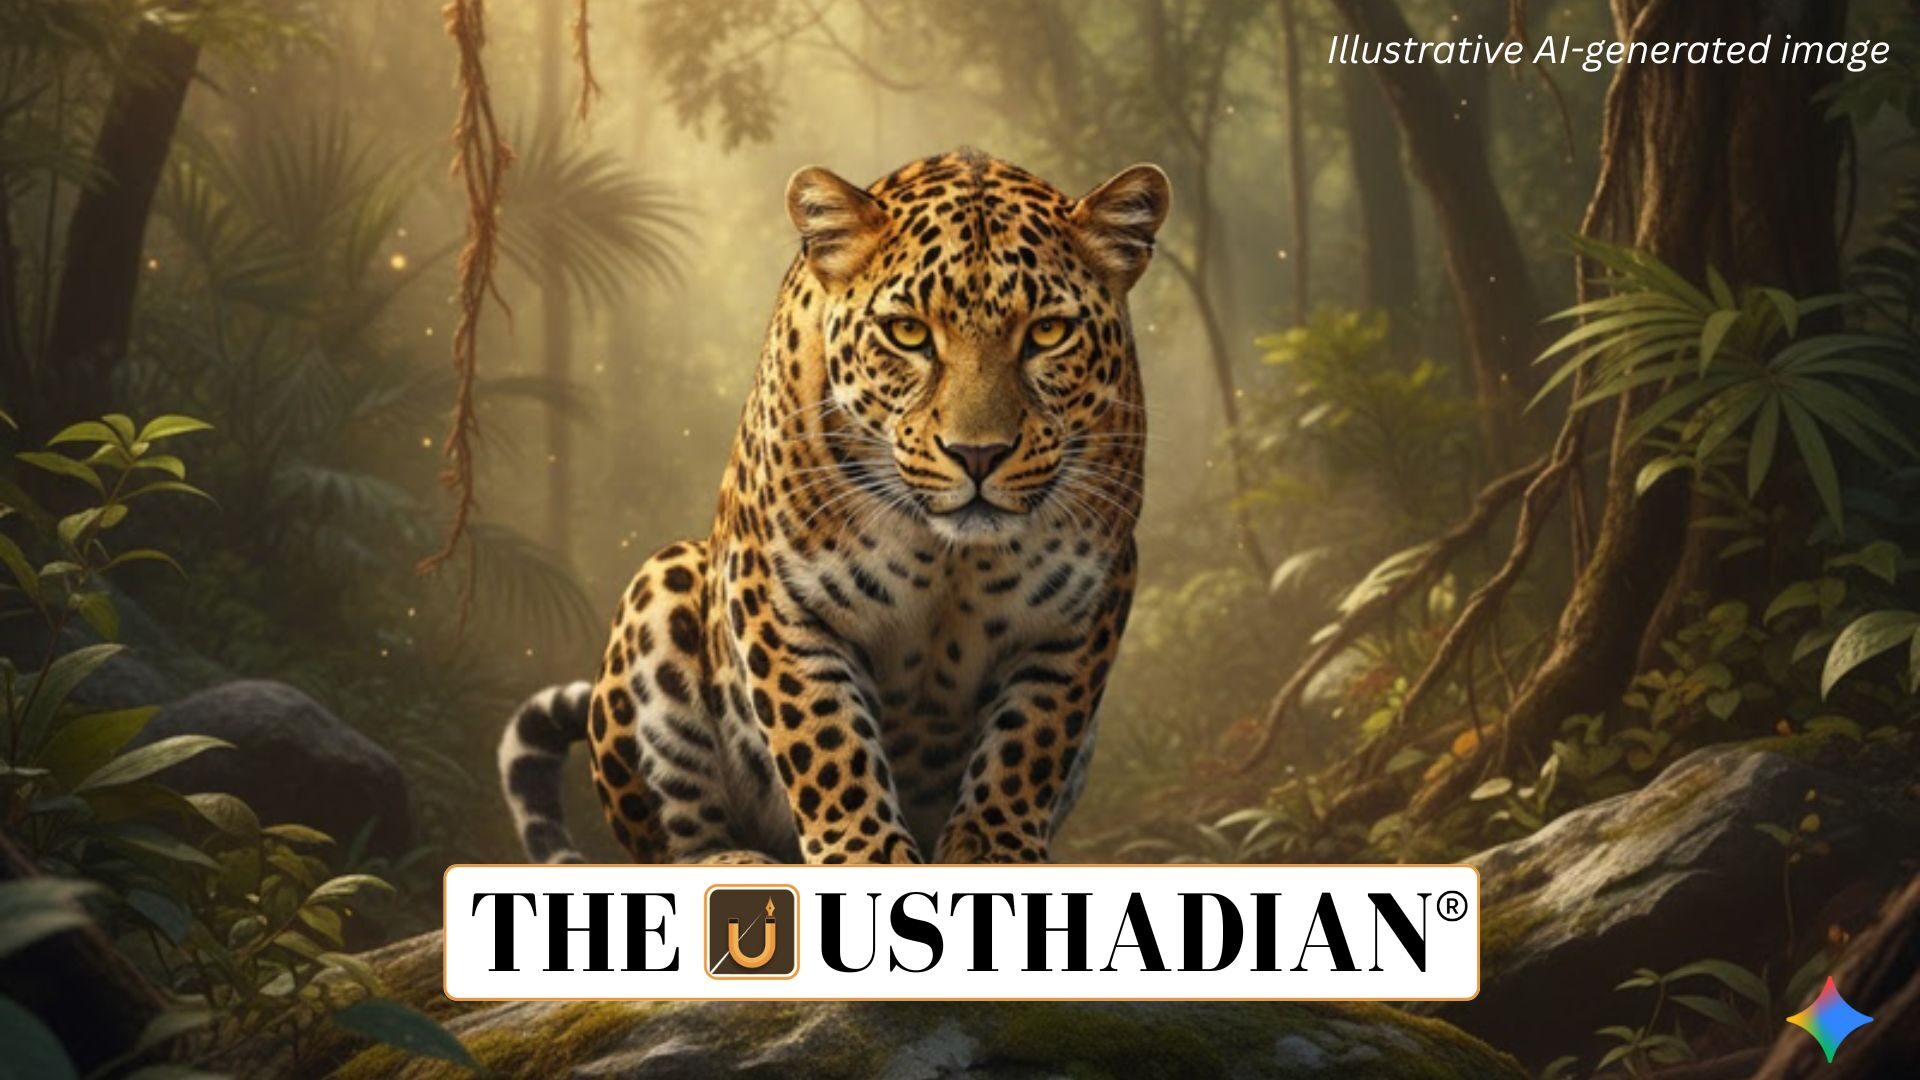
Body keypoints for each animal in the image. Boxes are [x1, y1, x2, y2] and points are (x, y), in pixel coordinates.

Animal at [498, 149, 1169, 865]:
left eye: (1048, 332)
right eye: (908, 332)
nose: (978, 454)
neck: (950, 553)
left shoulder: (1083, 606)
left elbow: (1030, 743)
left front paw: (993, 852)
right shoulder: (778, 590)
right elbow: (825, 739)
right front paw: (865, 858)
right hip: (664, 580)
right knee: (673, 845)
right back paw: (734, 860)